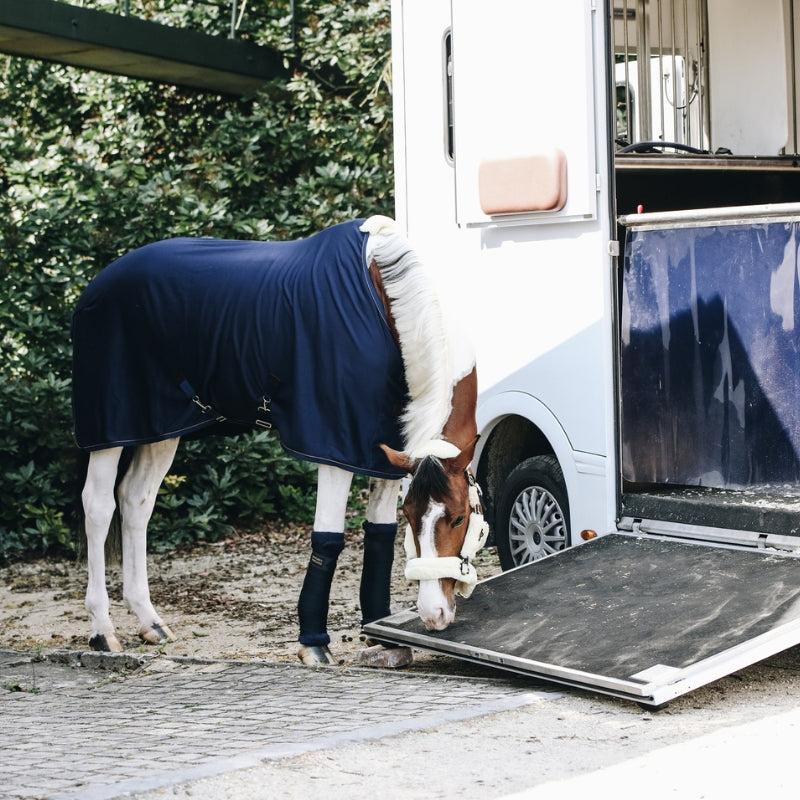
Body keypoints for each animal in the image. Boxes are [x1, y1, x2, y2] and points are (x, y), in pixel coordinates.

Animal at [73, 216, 488, 664]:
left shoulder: (383, 456)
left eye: (459, 517)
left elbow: (378, 534)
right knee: (99, 506)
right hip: (111, 429)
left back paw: (150, 622)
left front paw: (381, 632)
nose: (434, 615)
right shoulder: (334, 446)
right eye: (416, 518)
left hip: (162, 429)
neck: (379, 298)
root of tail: (98, 283)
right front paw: (314, 644)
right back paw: (102, 630)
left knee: (136, 502)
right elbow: (328, 538)